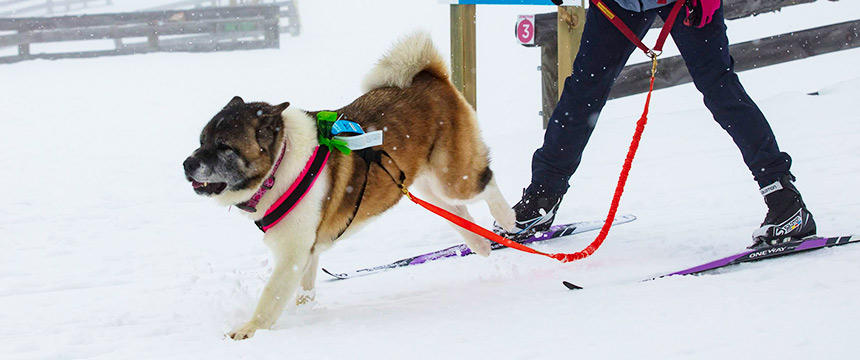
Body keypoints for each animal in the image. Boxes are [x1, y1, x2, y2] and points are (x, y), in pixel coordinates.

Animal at [182, 32, 512, 338]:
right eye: (202, 141)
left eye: (224, 147)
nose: (186, 164)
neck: (280, 162)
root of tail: (428, 75)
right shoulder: (308, 250)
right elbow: (304, 288)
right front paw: (305, 312)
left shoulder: (292, 252)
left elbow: (271, 295)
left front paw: (249, 330)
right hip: (423, 183)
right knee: (455, 211)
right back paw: (480, 244)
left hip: (451, 176)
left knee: (484, 183)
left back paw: (507, 218)